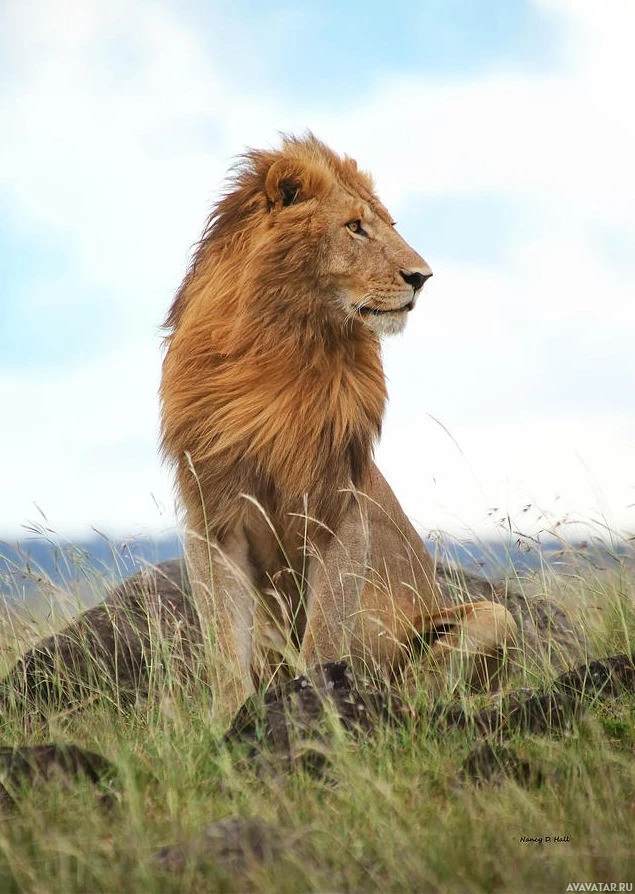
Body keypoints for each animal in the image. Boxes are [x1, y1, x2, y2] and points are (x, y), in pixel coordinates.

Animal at [160, 135, 516, 736]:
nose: (422, 277)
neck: (284, 342)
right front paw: (227, 726)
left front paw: (320, 711)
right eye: (355, 228)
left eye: (388, 225)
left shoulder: (340, 508)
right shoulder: (213, 518)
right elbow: (225, 646)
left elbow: (324, 638)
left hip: (493, 617)